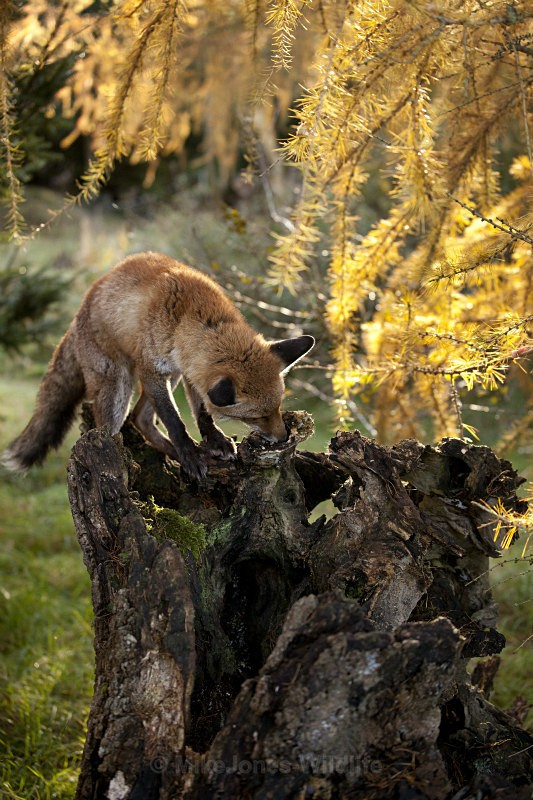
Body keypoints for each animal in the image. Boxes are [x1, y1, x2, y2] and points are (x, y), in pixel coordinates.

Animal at [2, 252, 315, 481]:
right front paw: (190, 454)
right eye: (257, 416)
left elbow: (202, 414)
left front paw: (213, 442)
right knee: (113, 428)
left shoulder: (190, 372)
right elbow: (175, 421)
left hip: (169, 378)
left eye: (277, 407)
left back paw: (174, 456)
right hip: (119, 387)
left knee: (140, 419)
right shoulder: (151, 370)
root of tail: (79, 312)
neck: (191, 319)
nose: (283, 436)